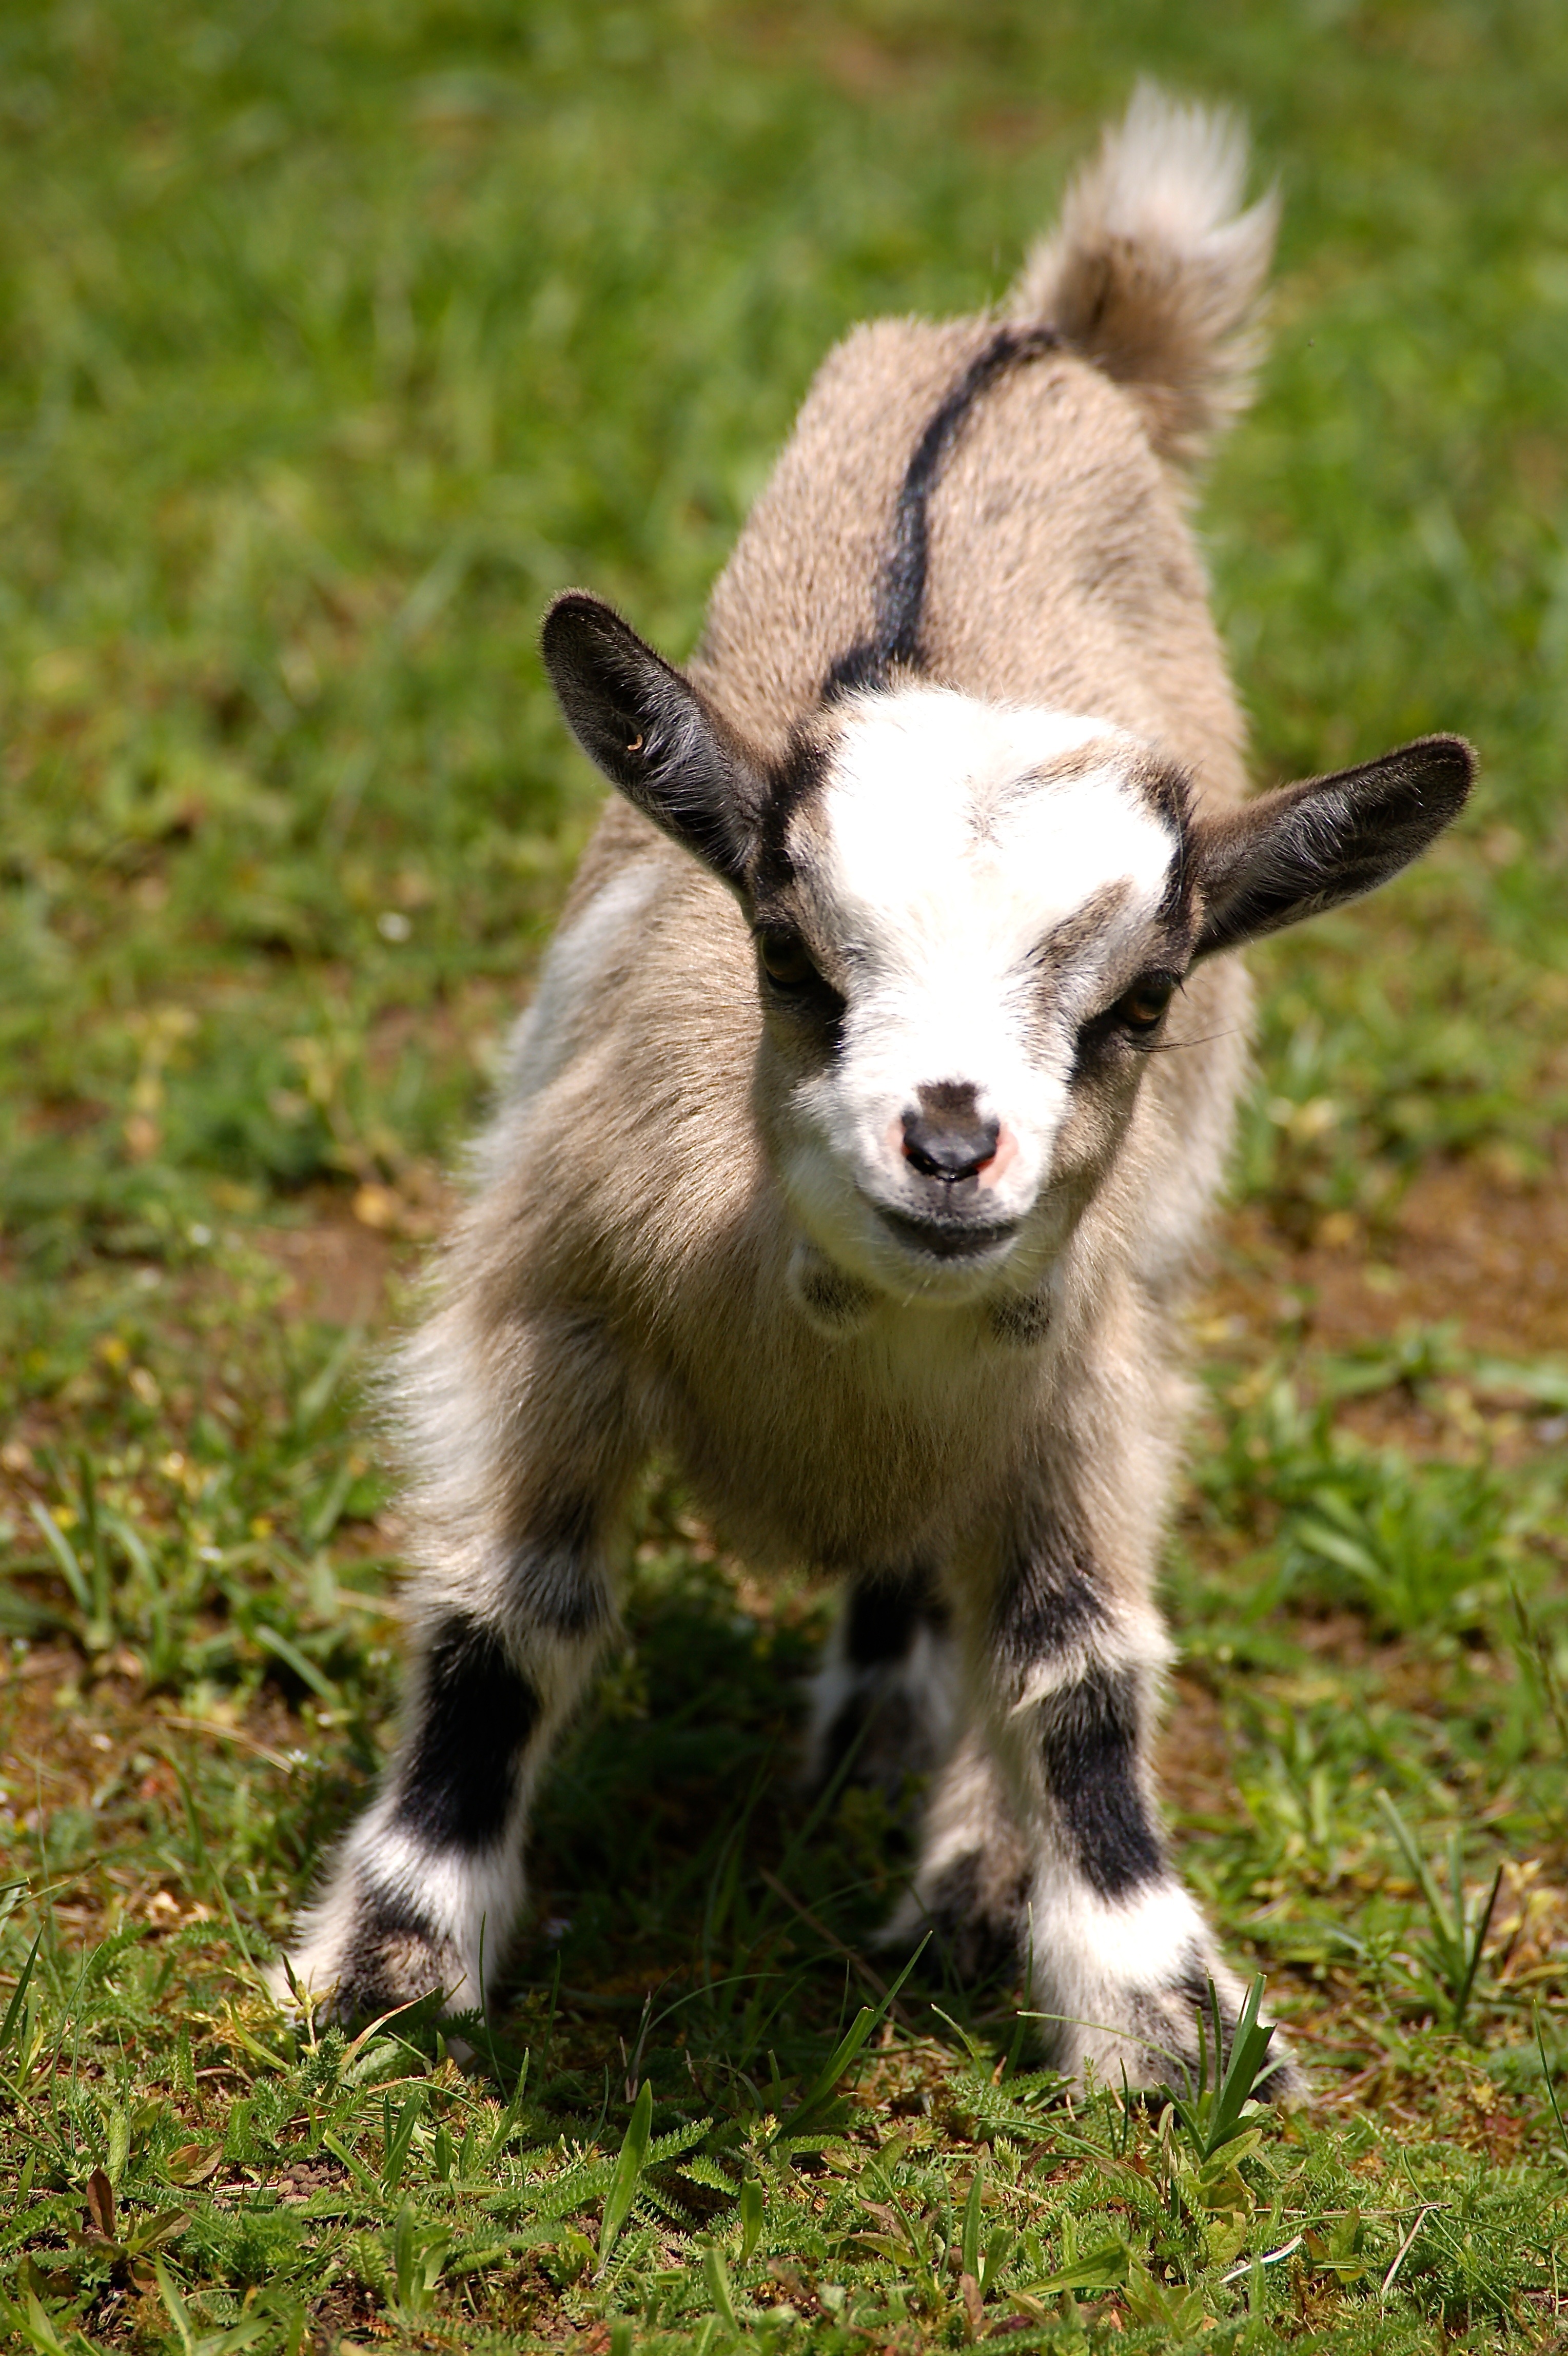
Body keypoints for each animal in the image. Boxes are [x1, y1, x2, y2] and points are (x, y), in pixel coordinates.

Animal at [278, 92, 1469, 2092]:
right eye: (788, 946)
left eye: (1143, 997)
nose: (950, 1141)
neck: (836, 1350)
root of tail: (1044, 337)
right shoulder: (545, 1312)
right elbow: (509, 1622)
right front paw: (388, 1960)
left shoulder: (1087, 1389)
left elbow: (1078, 1673)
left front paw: (1164, 2025)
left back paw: (960, 1848)